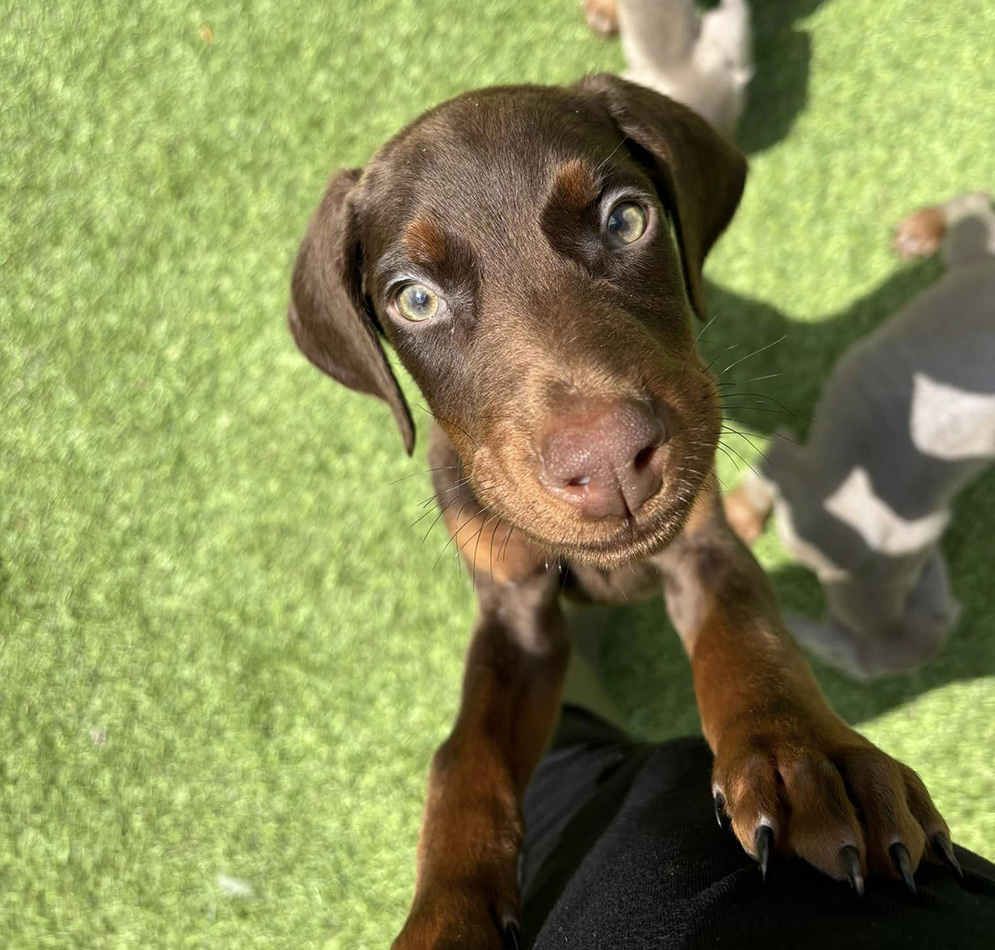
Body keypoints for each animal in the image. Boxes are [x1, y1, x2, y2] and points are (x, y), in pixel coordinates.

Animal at [288, 76, 956, 950]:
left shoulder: (702, 543)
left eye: (625, 219)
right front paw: (445, 916)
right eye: (415, 301)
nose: (606, 463)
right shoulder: (514, 614)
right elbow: (462, 756)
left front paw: (806, 754)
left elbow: (751, 637)